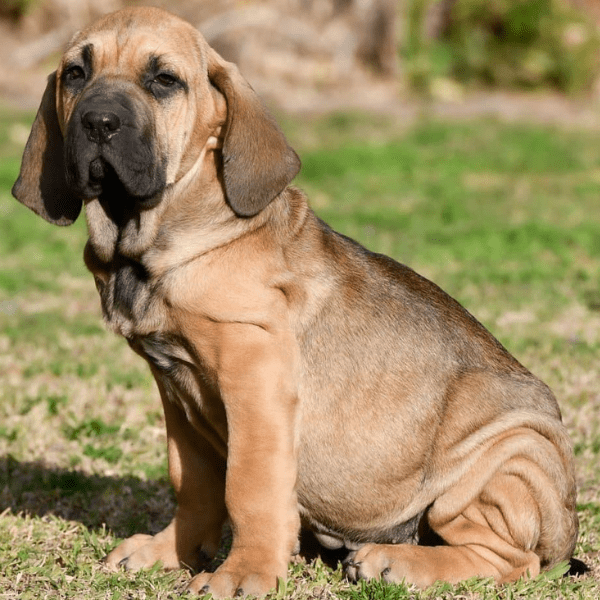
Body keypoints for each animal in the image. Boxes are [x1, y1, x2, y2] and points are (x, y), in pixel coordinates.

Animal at [12, 7, 576, 596]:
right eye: (76, 74)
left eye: (164, 80)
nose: (98, 122)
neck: (160, 235)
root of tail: (566, 527)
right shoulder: (176, 392)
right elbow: (193, 482)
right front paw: (170, 553)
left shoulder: (253, 373)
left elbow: (249, 485)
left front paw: (243, 572)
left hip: (505, 458)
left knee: (513, 559)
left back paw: (393, 562)